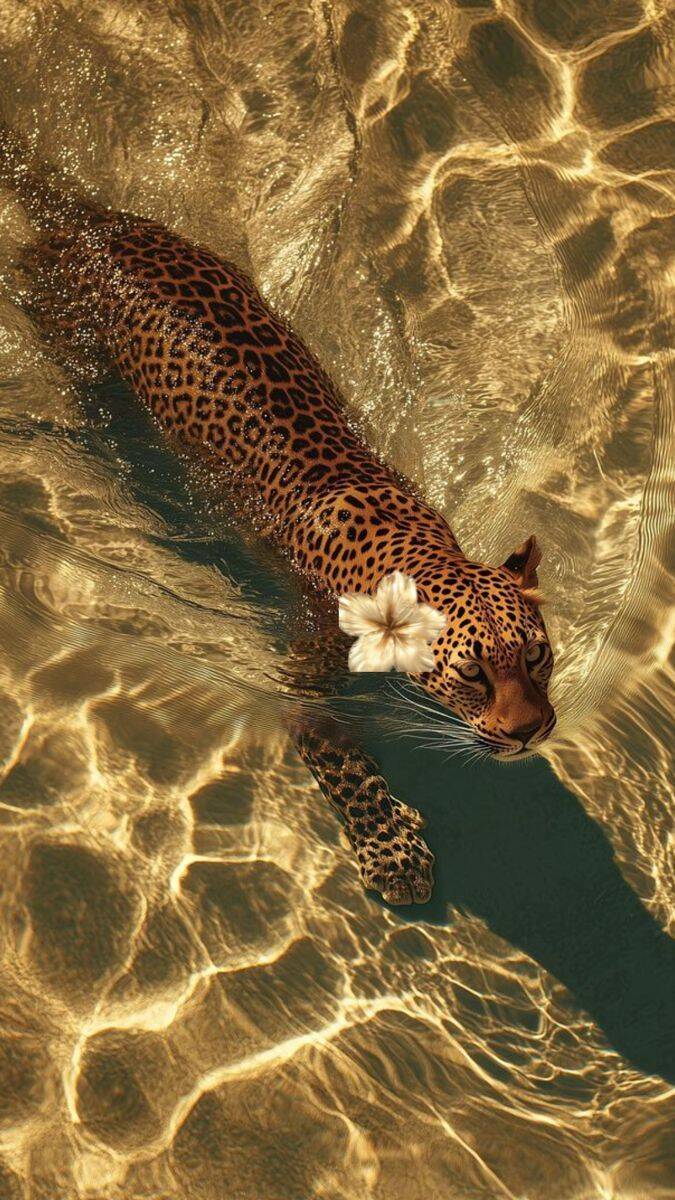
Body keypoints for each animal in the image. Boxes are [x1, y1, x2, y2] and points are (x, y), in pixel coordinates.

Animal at [0, 127, 556, 905]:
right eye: (473, 673)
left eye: (536, 655)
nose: (532, 731)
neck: (411, 548)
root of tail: (90, 222)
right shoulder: (305, 687)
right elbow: (344, 765)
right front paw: (395, 855)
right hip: (69, 346)